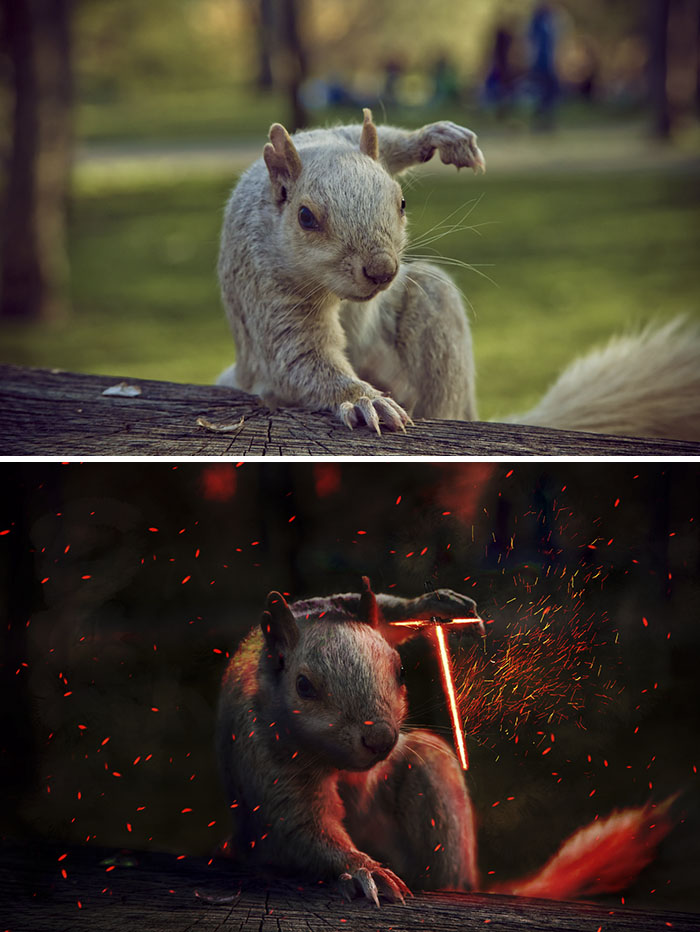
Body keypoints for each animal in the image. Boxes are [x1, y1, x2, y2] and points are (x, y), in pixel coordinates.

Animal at [215, 577, 673, 906]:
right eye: (304, 686)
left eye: (400, 671)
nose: (380, 739)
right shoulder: (267, 756)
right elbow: (301, 825)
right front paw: (363, 869)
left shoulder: (339, 605)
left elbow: (384, 613)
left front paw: (437, 605)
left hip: (429, 769)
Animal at [217, 109, 700, 441]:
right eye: (306, 217)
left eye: (402, 202)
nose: (382, 270)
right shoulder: (269, 288)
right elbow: (299, 356)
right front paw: (363, 399)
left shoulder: (341, 138)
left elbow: (382, 140)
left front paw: (440, 137)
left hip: (432, 301)